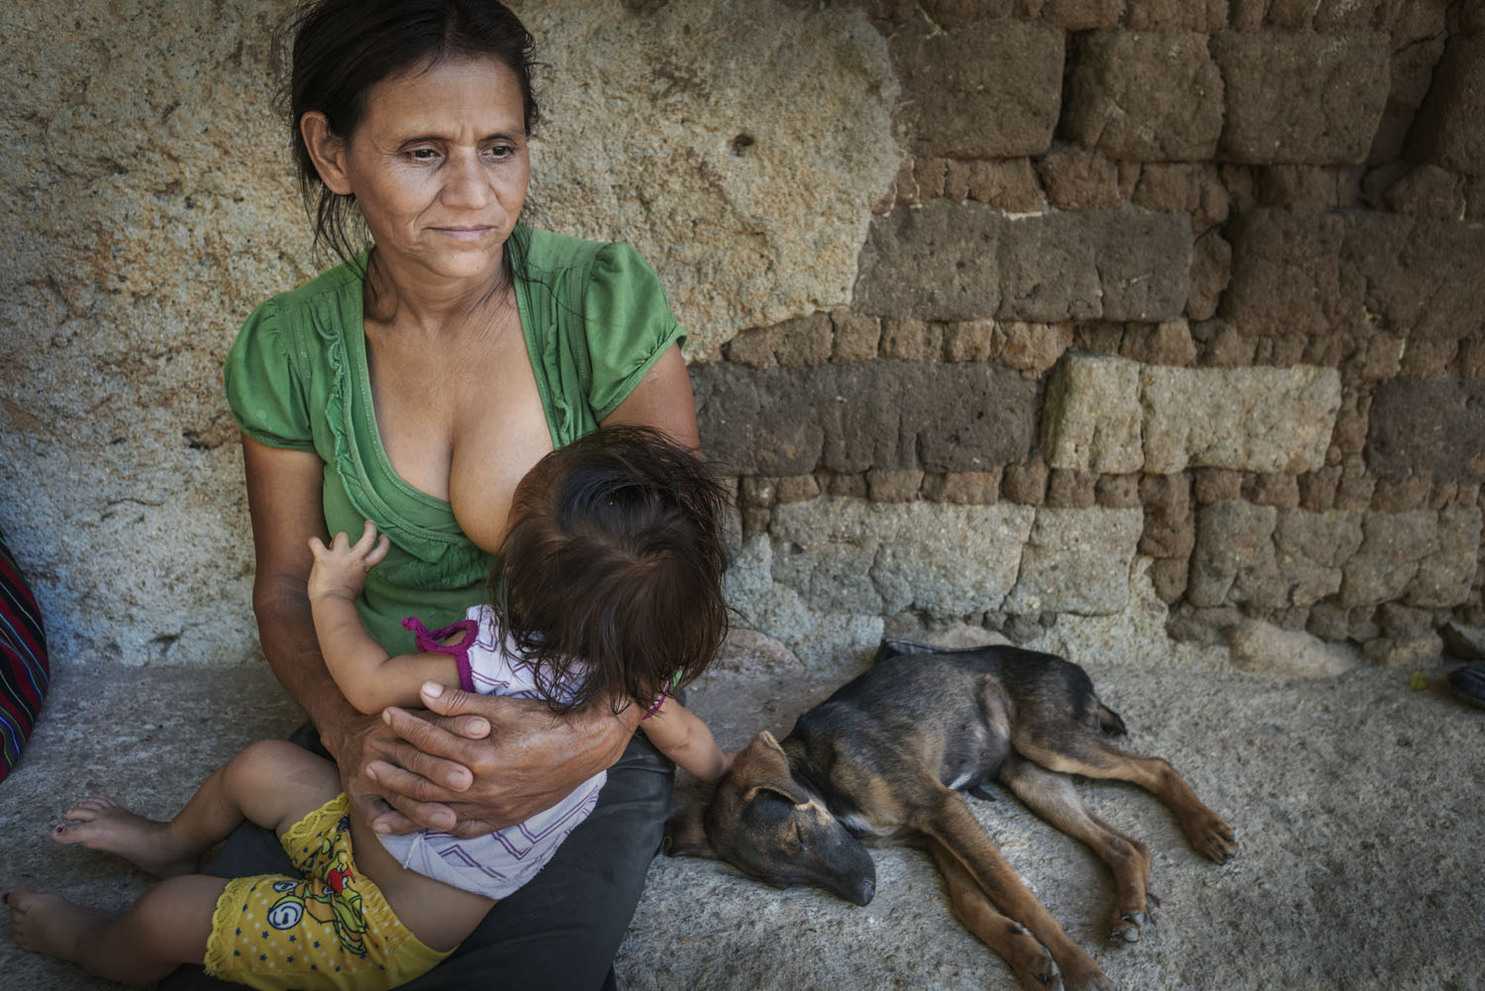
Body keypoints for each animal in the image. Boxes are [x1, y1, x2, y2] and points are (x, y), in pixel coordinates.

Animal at [668, 638, 1235, 986]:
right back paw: (1130, 909)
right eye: (785, 882)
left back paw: (1207, 829)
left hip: (1051, 740)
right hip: (1032, 775)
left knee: (1156, 766)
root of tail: (1071, 666)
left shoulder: (943, 808)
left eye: (798, 836)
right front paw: (1029, 959)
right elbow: (971, 905)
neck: (817, 774)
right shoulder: (930, 834)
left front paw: (1080, 971)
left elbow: (1014, 893)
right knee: (1126, 842)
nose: (866, 895)